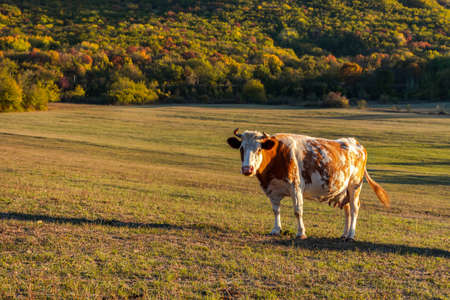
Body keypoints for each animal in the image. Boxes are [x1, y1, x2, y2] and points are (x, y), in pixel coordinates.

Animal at [227, 127, 388, 240]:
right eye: (241, 148)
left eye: (259, 148)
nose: (247, 169)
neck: (277, 156)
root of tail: (356, 143)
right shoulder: (272, 189)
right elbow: (276, 210)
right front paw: (276, 230)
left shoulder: (296, 187)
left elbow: (298, 211)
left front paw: (301, 233)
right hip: (343, 190)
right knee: (347, 210)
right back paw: (344, 234)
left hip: (354, 186)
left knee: (354, 209)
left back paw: (351, 235)